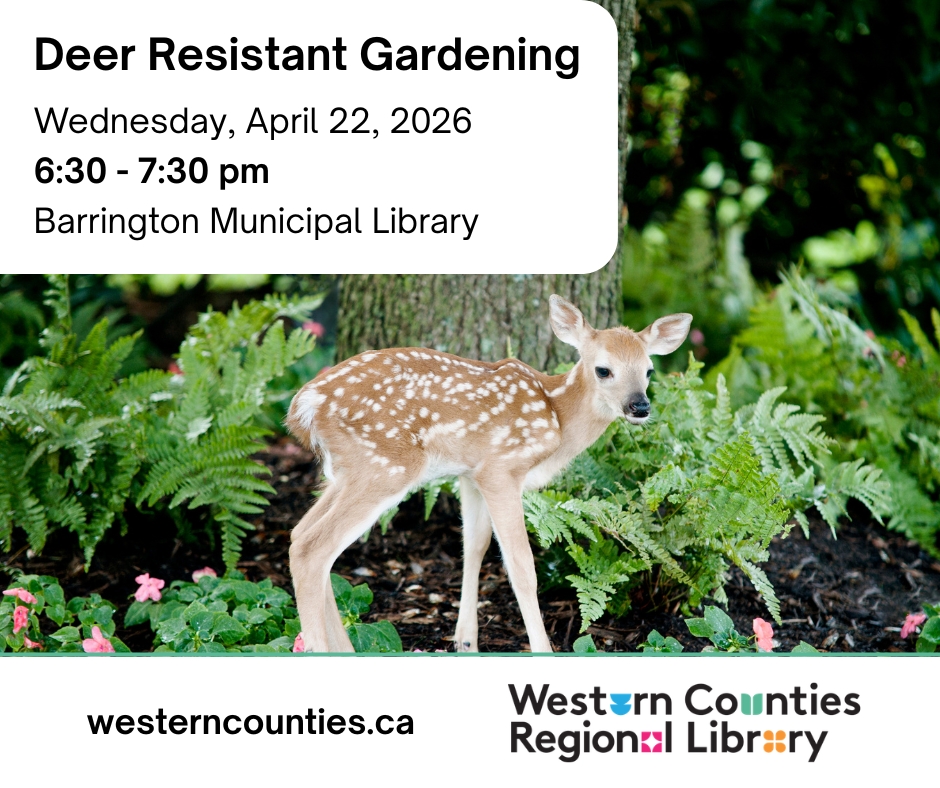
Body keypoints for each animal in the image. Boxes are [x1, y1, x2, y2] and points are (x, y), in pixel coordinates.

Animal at [285, 296, 692, 653]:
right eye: (603, 369)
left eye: (649, 370)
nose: (639, 406)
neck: (557, 418)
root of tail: (305, 406)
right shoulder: (502, 468)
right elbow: (522, 567)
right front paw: (541, 650)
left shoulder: (470, 473)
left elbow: (474, 546)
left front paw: (466, 641)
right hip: (386, 465)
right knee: (313, 548)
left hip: (345, 471)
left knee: (299, 534)